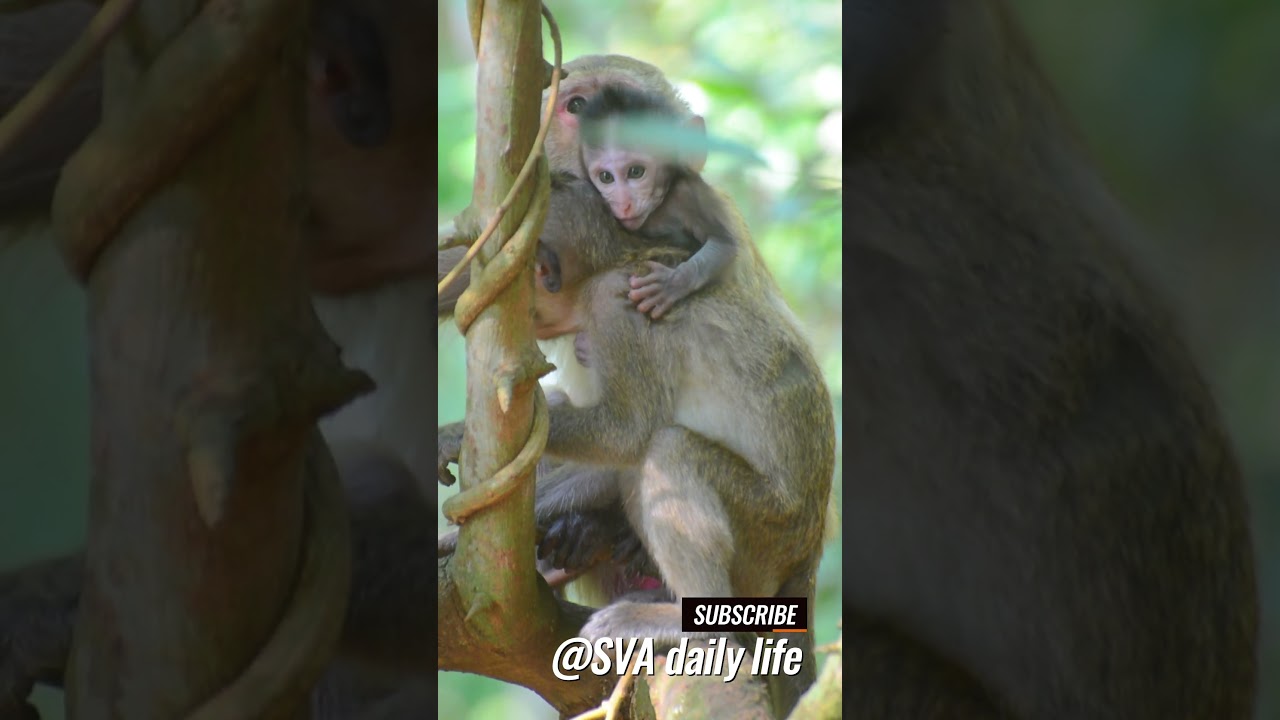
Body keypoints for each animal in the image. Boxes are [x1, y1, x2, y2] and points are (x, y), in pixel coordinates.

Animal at [437, 172, 838, 717]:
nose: (565, 341)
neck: (613, 261)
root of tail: (808, 557)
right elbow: (616, 456)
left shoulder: (617, 310)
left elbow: (629, 431)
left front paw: (456, 436)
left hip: (769, 534)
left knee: (669, 450)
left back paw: (695, 630)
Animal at [576, 83, 740, 319]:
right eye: (606, 177)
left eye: (636, 172)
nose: (623, 205)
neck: (659, 207)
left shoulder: (688, 195)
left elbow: (724, 245)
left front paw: (672, 284)